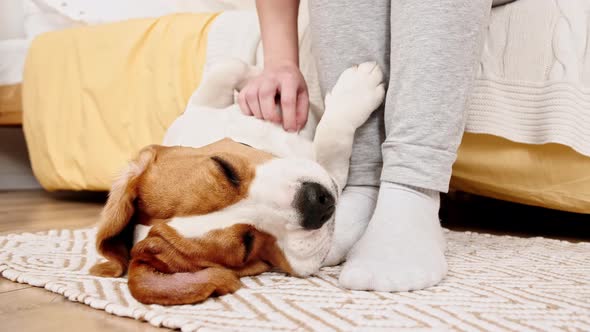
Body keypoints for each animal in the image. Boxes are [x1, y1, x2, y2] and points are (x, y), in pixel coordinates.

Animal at [89, 59, 388, 304]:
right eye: (248, 245)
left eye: (224, 168)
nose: (316, 203)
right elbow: (329, 147)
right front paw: (356, 92)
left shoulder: (198, 109)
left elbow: (227, 68)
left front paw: (267, 80)